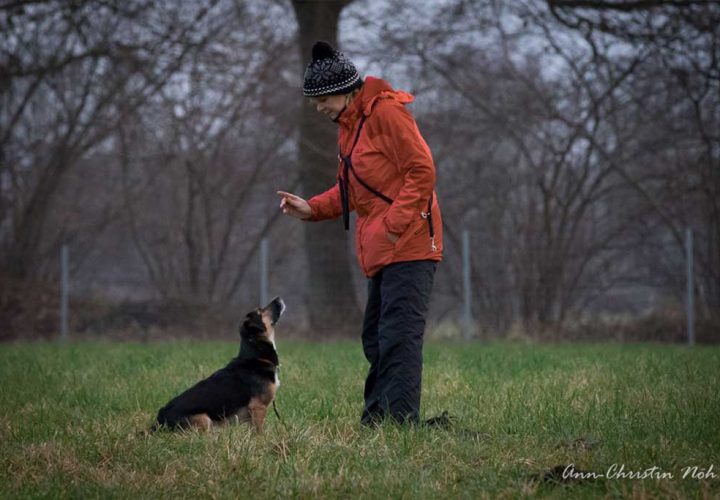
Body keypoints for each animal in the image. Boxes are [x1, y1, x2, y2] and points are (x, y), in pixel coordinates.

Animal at [154, 296, 284, 434]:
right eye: (260, 310)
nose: (278, 298)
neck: (256, 356)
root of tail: (159, 421)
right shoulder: (258, 407)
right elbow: (259, 432)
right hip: (203, 418)